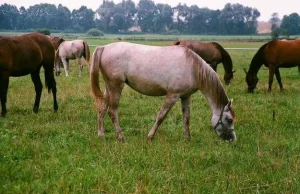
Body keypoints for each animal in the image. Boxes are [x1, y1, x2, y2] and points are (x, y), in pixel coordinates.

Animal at [90, 42, 236, 142]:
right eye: (229, 119)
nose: (232, 139)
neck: (192, 67)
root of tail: (104, 47)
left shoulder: (185, 96)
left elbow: (186, 118)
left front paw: (187, 139)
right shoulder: (172, 95)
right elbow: (161, 116)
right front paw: (150, 137)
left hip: (109, 87)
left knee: (102, 107)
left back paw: (101, 134)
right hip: (116, 87)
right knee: (112, 111)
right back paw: (121, 137)